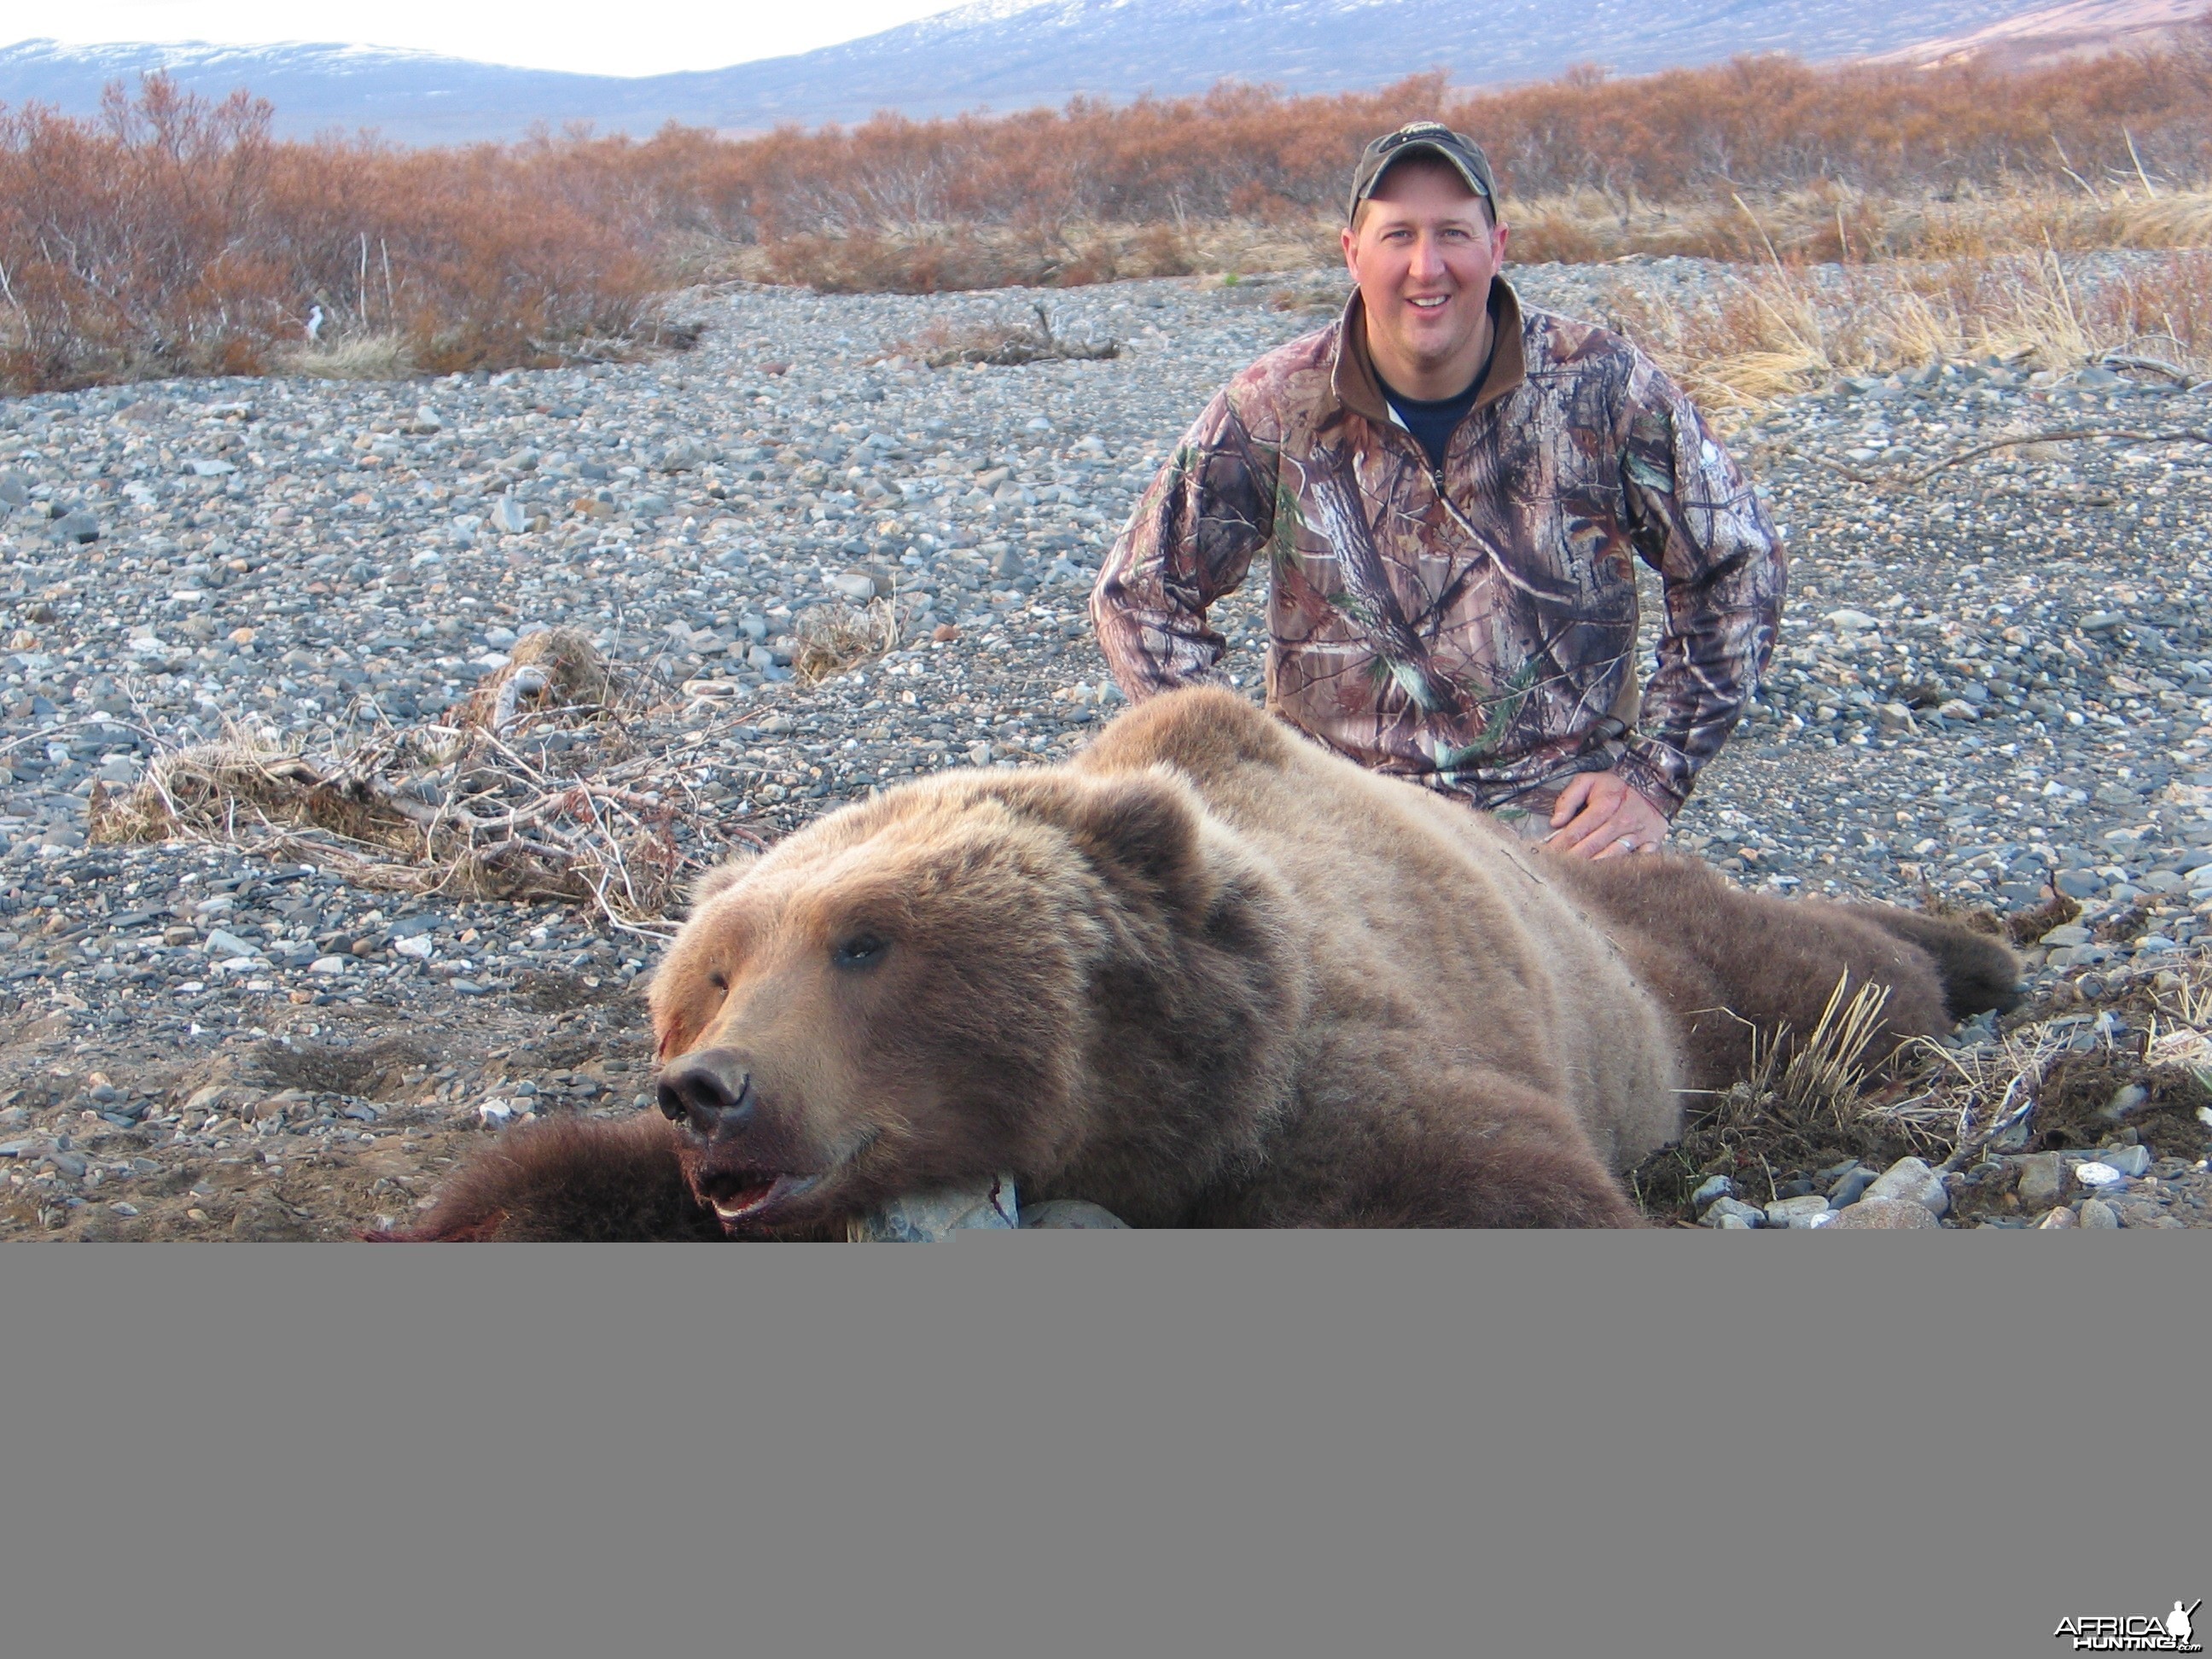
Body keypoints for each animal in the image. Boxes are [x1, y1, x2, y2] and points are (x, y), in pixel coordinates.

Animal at [385, 681, 2026, 1238]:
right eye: (714, 971)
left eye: (865, 940)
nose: (710, 1089)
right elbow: (548, 1182)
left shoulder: (1338, 1090)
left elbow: (1493, 1194)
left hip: (1659, 967)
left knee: (1824, 974)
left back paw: (1979, 952)